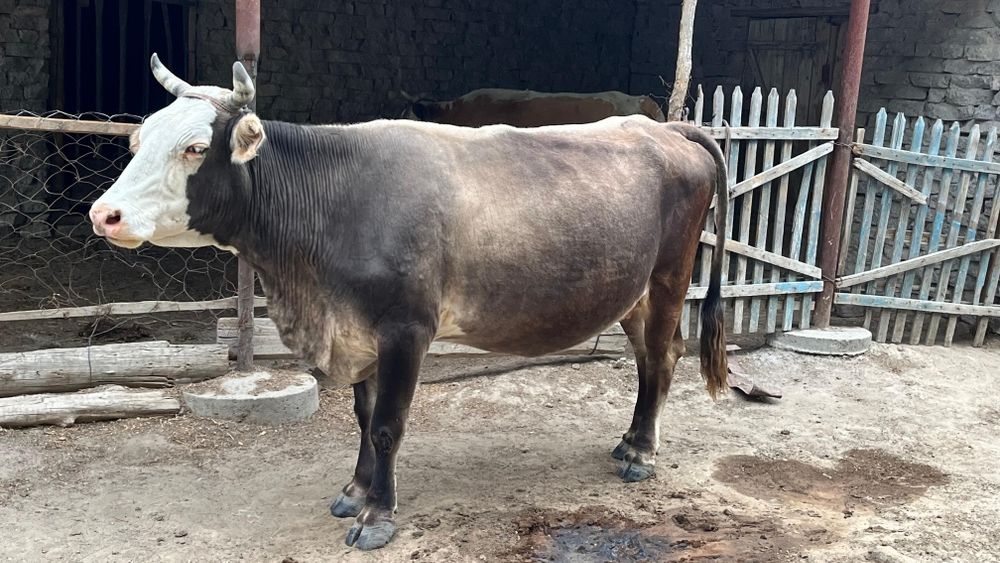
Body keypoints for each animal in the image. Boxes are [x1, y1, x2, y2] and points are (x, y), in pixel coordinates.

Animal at [89, 55, 729, 551]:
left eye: (195, 148)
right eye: (138, 140)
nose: (104, 213)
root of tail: (664, 129)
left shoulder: (406, 329)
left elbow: (387, 426)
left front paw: (378, 515)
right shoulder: (357, 330)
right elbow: (362, 415)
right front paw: (355, 492)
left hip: (670, 276)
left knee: (664, 356)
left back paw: (643, 454)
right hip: (632, 292)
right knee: (649, 357)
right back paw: (629, 440)